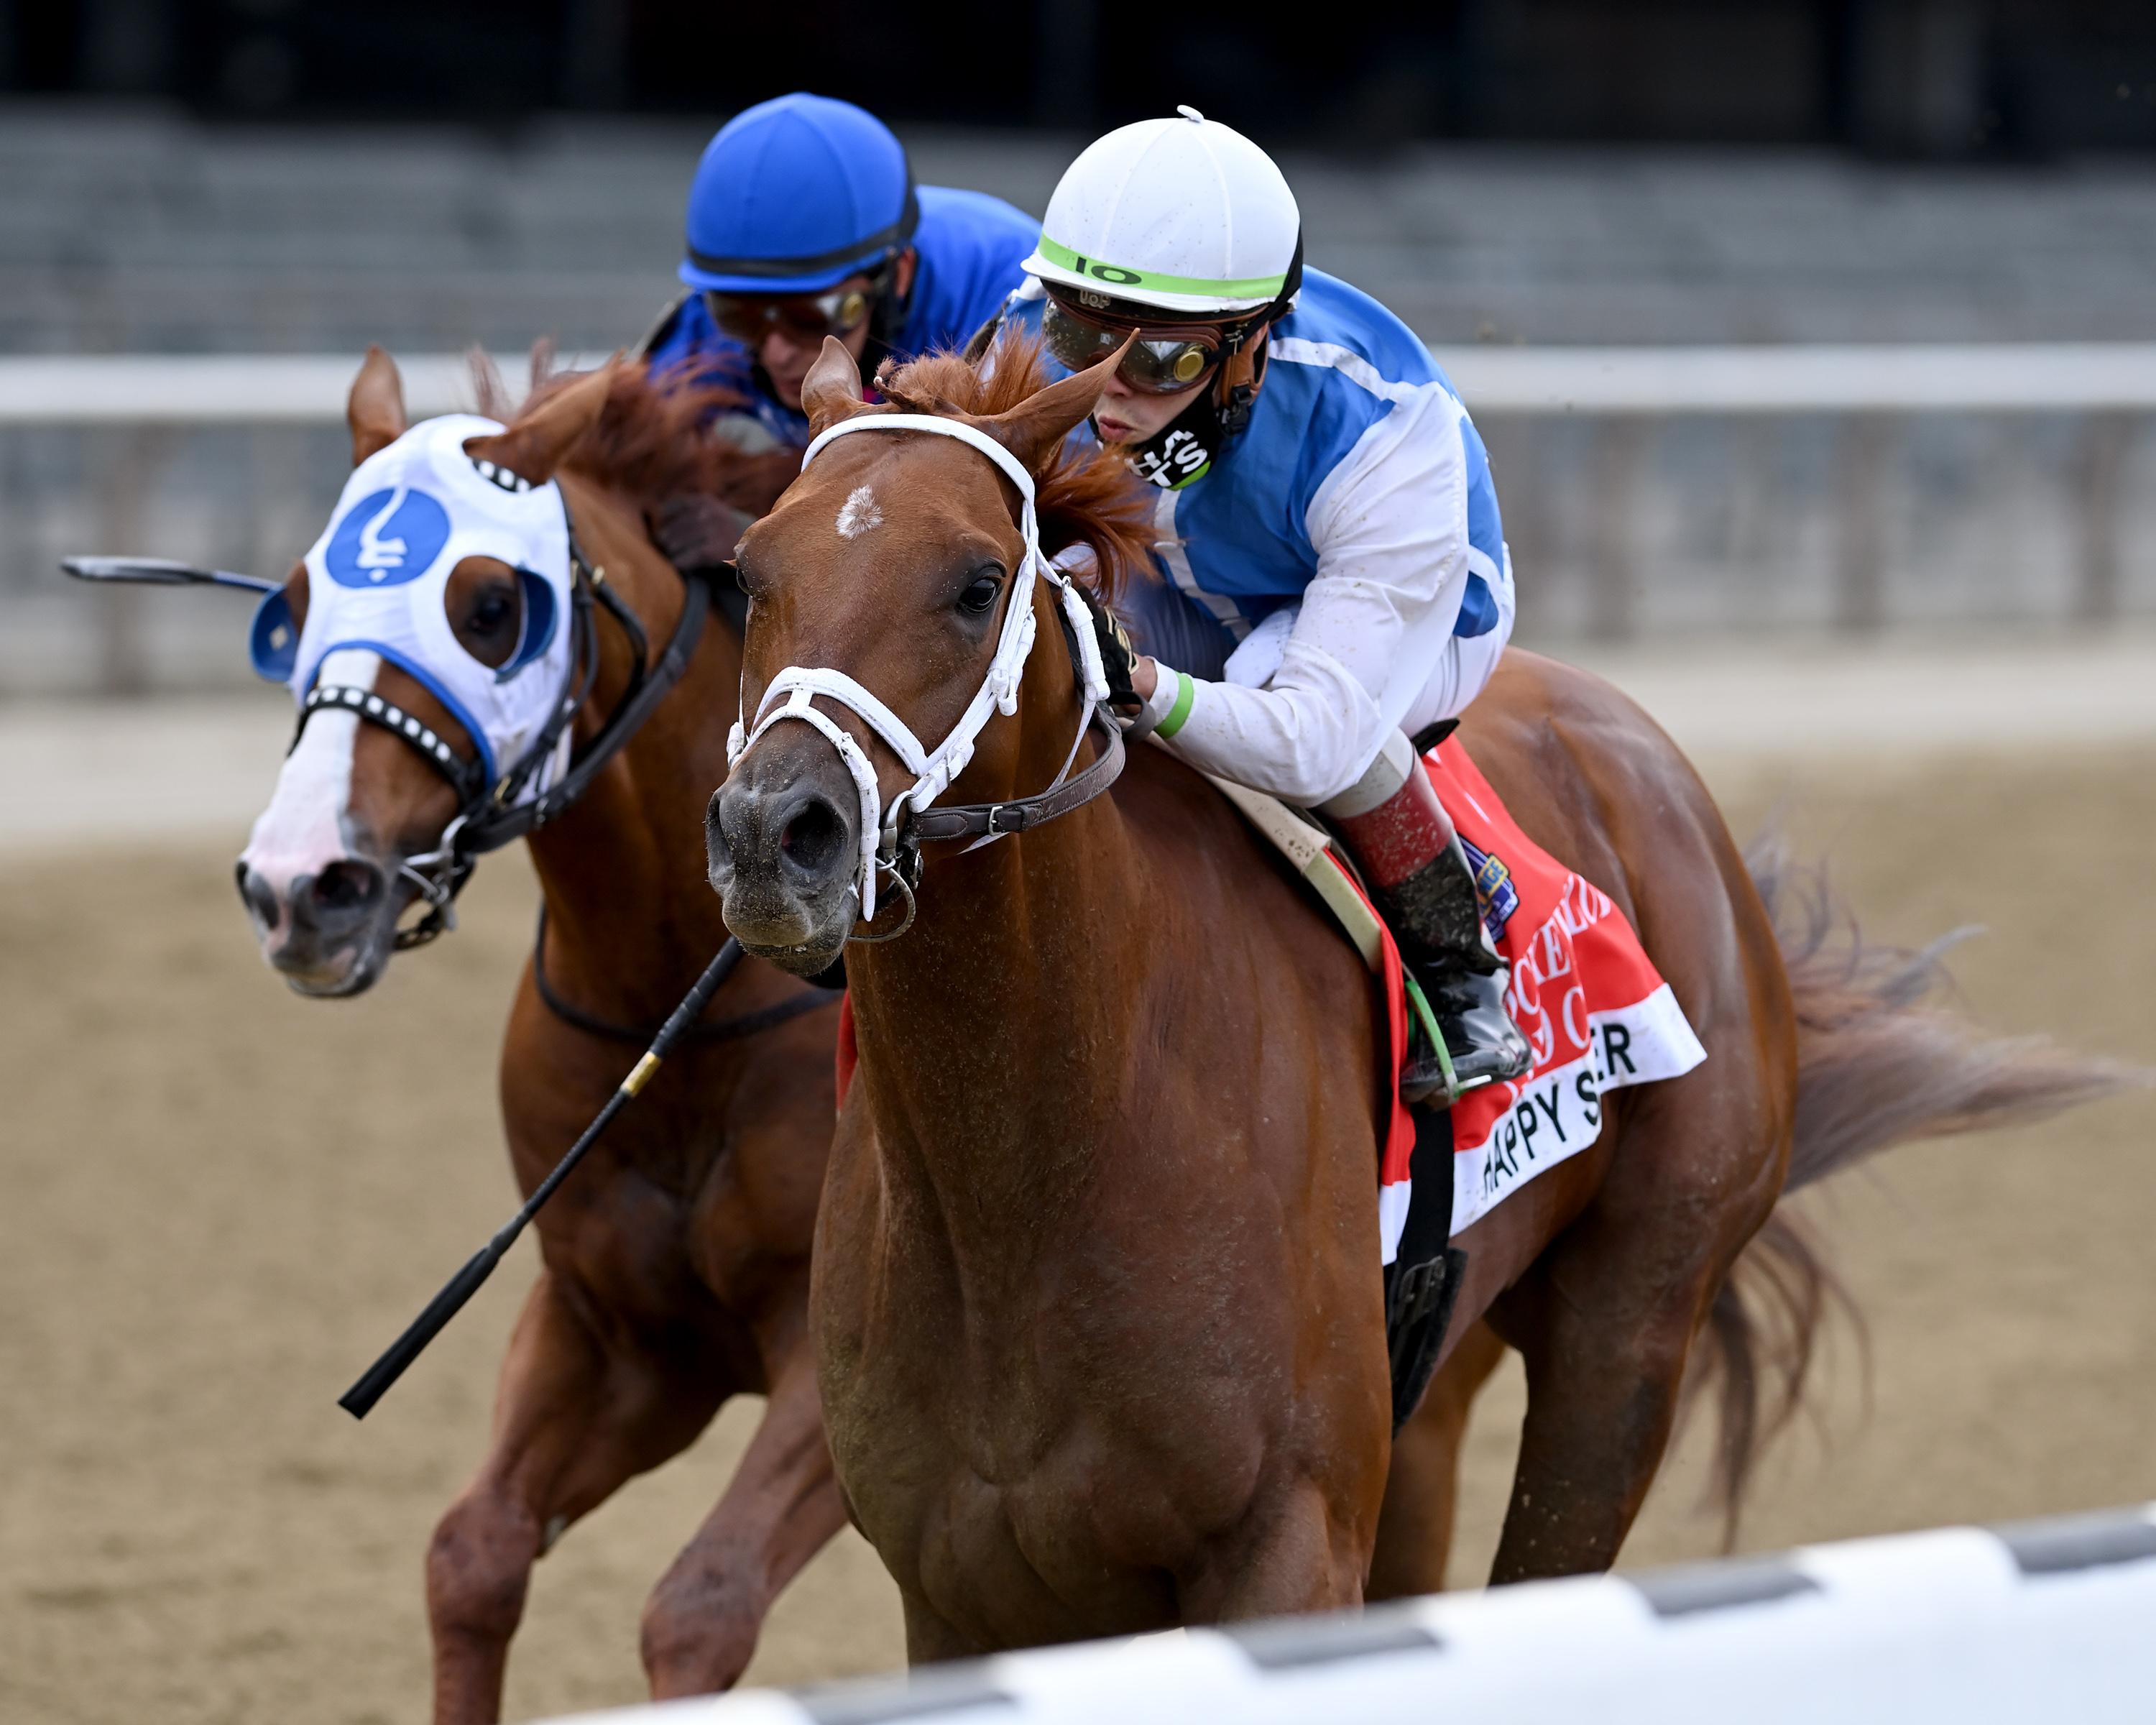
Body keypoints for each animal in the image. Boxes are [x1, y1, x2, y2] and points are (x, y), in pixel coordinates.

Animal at [233, 349, 850, 1721]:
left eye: (485, 607)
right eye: (293, 602)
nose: (301, 885)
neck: (681, 1002)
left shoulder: (850, 1359)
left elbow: (700, 1604)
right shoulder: (619, 1333)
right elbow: (472, 1554)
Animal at [706, 330, 2121, 1659]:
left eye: (976, 583)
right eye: (751, 574)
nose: (778, 835)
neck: (1034, 1171)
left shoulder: (1282, 1543)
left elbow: (1325, 718)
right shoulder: (963, 1590)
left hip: (1629, 1329)